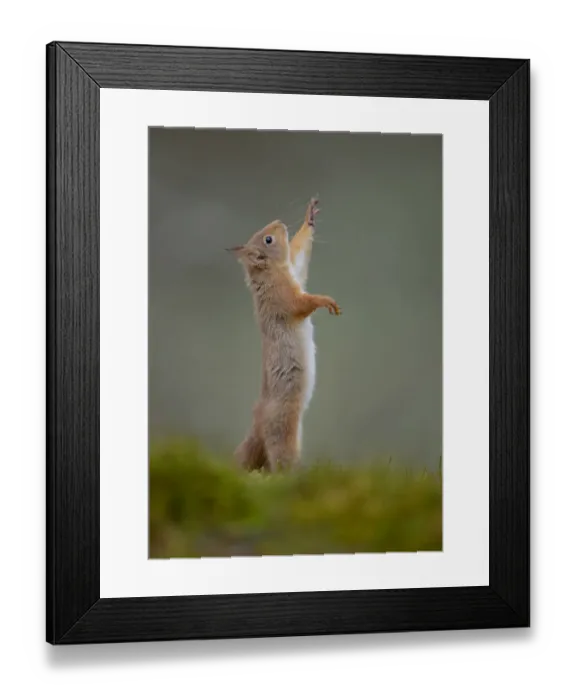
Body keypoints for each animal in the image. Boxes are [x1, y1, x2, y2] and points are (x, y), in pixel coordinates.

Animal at [228, 197, 341, 472]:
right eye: (268, 239)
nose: (279, 222)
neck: (272, 272)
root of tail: (257, 420)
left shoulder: (295, 271)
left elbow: (299, 253)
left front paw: (309, 217)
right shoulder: (284, 298)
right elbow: (303, 303)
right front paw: (325, 300)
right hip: (283, 428)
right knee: (279, 461)